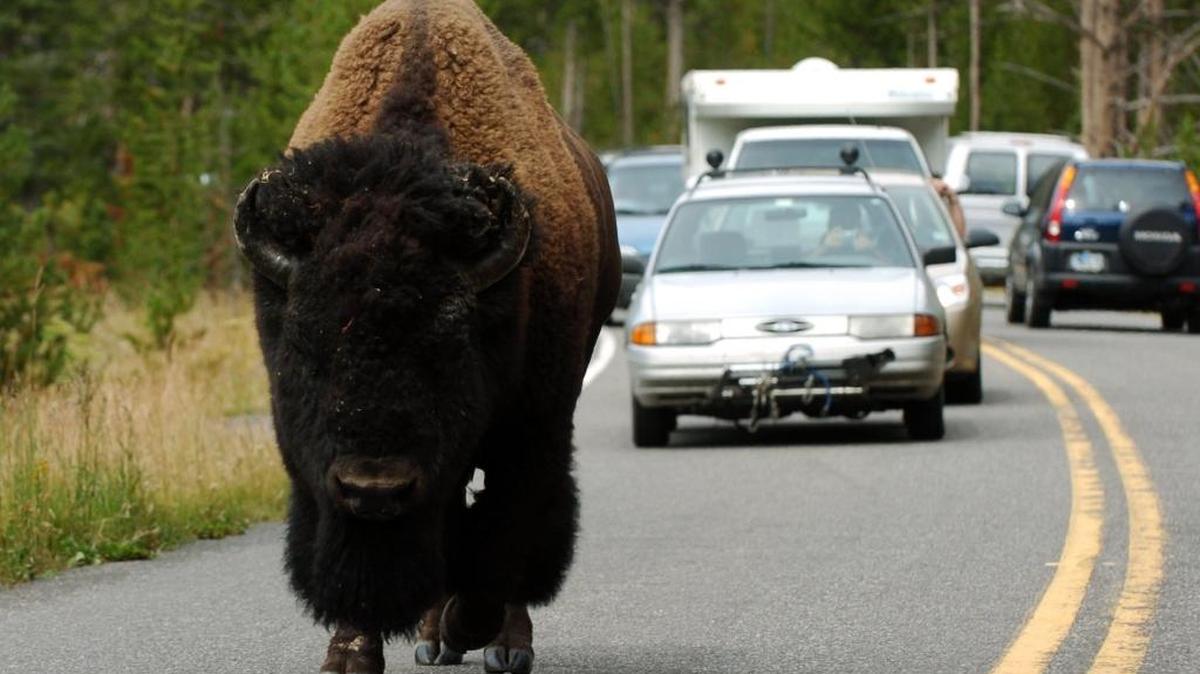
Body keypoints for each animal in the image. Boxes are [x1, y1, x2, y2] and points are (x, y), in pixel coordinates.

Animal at [233, 1, 619, 672]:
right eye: (308, 351)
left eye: (446, 350)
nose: (375, 487)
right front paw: (351, 654)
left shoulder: (534, 430)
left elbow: (502, 541)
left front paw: (471, 626)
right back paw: (433, 635)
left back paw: (499, 646)